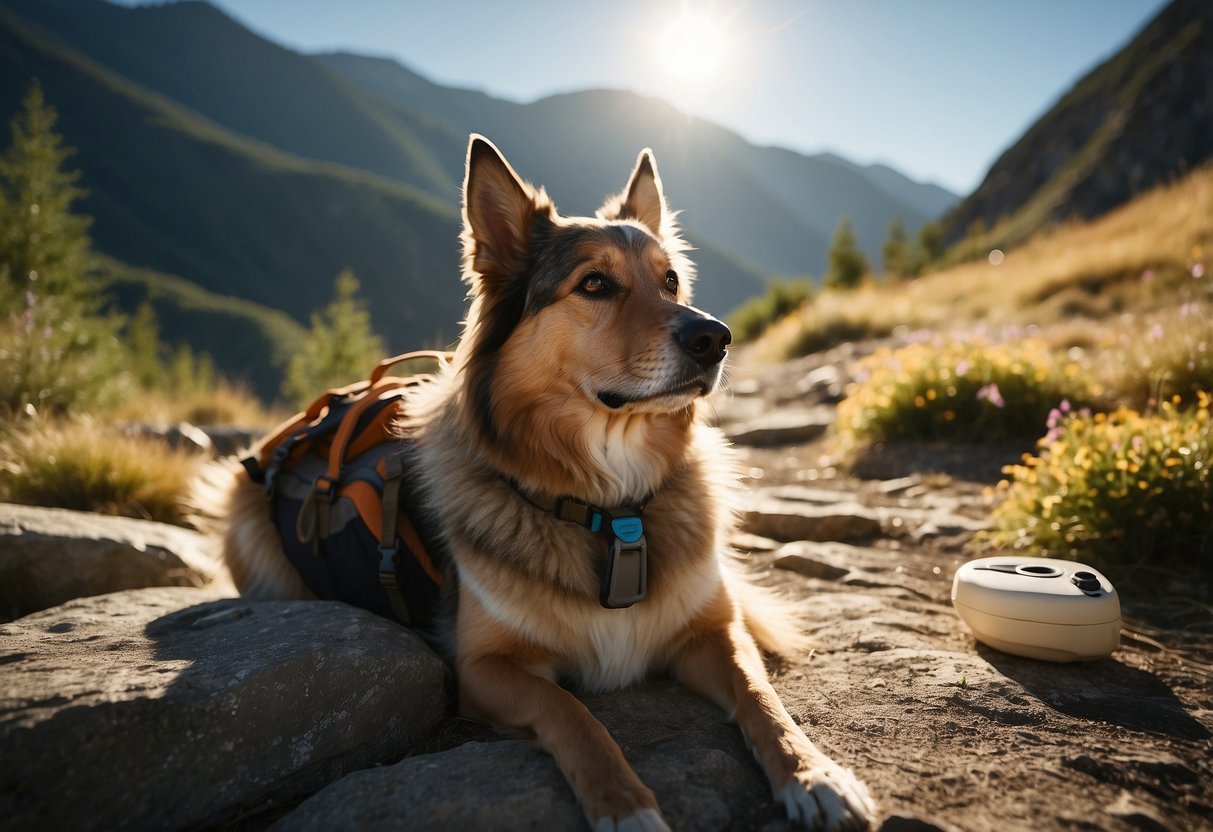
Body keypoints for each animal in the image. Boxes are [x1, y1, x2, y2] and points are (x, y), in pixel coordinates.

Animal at [218, 133, 878, 829]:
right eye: (595, 283)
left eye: (671, 281)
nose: (715, 338)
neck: (612, 508)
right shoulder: (483, 669)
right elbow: (573, 713)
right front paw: (625, 806)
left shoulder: (713, 633)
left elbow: (762, 696)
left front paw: (815, 775)